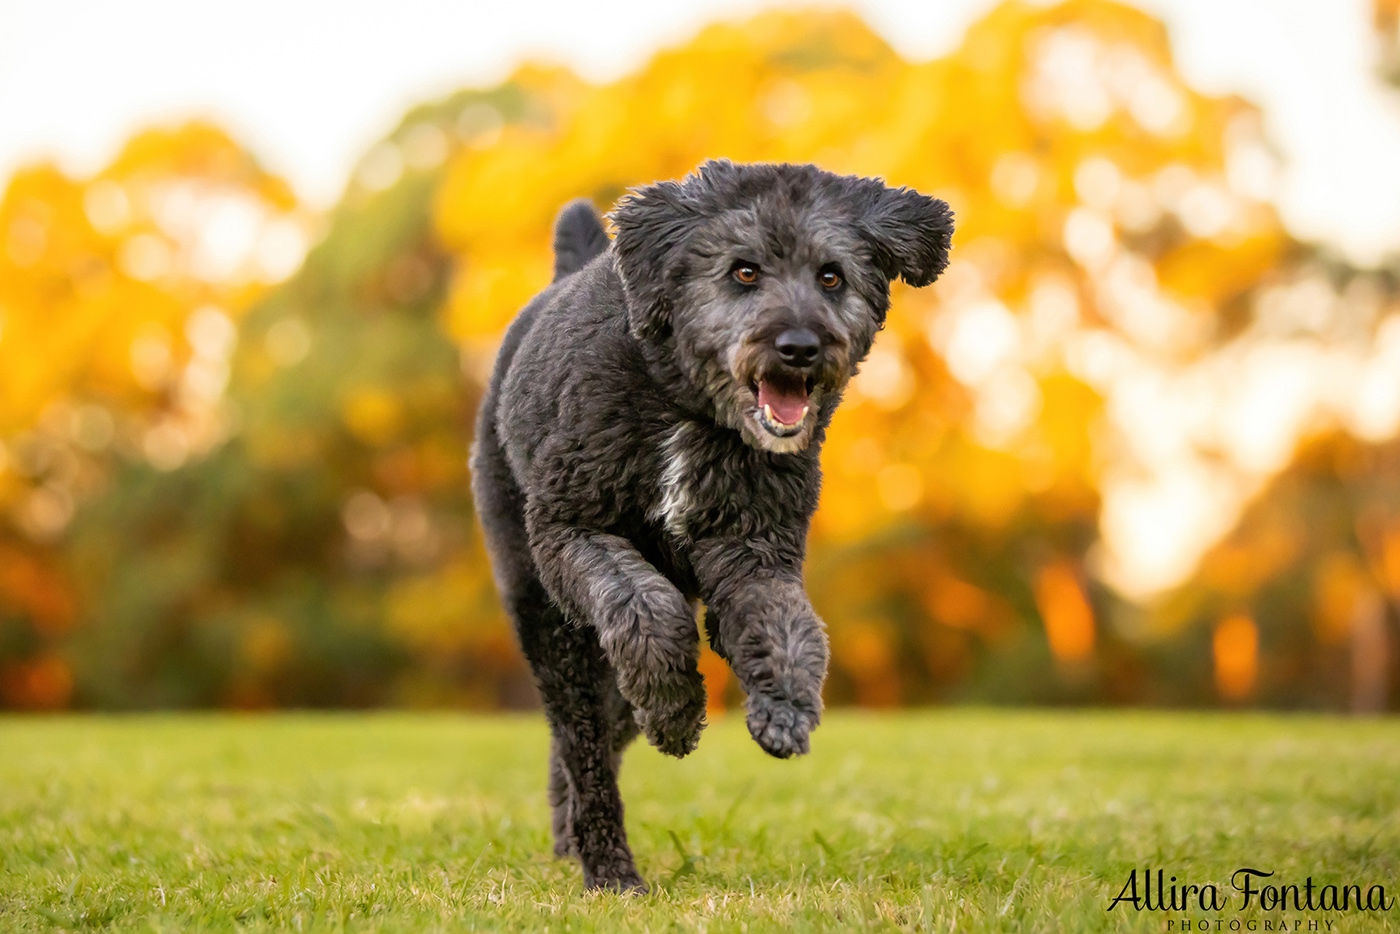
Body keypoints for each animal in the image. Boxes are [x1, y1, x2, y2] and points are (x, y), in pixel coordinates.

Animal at [470, 158, 952, 890]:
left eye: (831, 275)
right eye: (744, 271)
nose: (800, 347)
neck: (684, 409)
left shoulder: (754, 548)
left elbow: (787, 625)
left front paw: (784, 710)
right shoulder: (571, 529)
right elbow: (646, 608)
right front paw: (674, 710)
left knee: (588, 740)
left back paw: (571, 839)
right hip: (545, 616)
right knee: (581, 740)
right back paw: (609, 867)